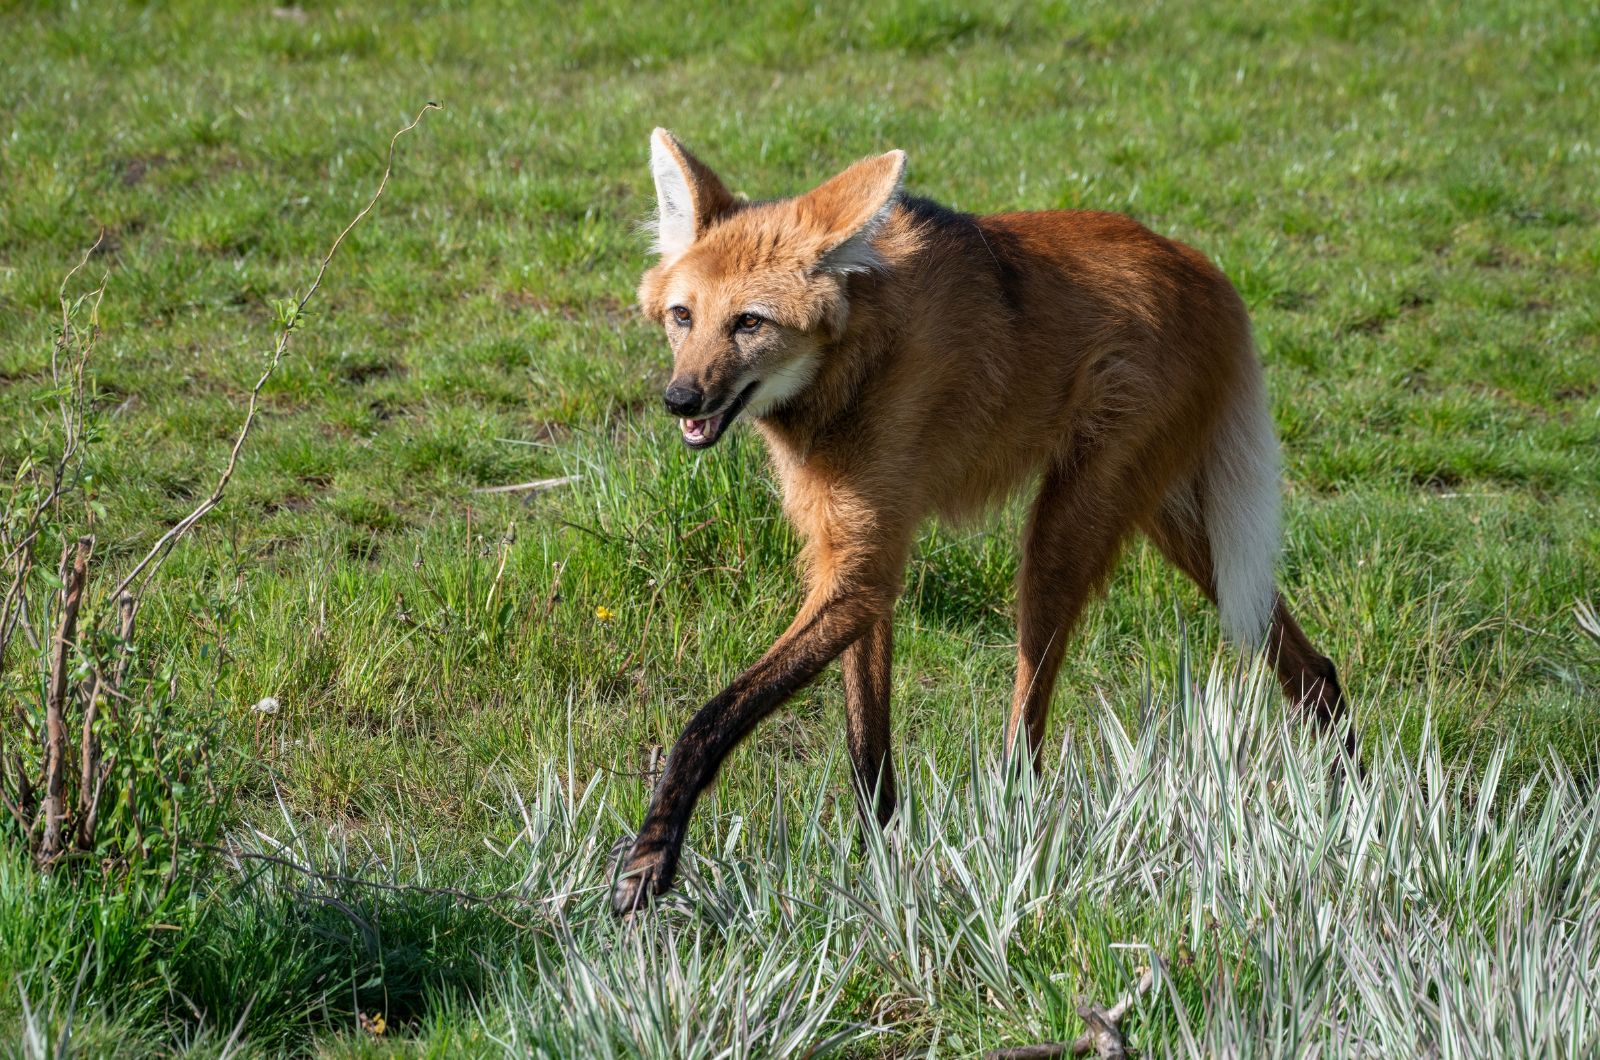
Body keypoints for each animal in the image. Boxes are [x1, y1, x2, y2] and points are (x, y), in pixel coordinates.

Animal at [611, 130, 1350, 915]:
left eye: (749, 322)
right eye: (683, 317)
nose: (679, 398)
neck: (854, 363)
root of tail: (1206, 270)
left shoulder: (865, 569)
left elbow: (712, 717)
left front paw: (651, 857)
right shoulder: (856, 556)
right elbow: (867, 748)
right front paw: (882, 866)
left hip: (1064, 528)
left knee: (1029, 725)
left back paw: (1011, 846)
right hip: (1172, 518)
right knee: (1303, 660)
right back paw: (1346, 802)